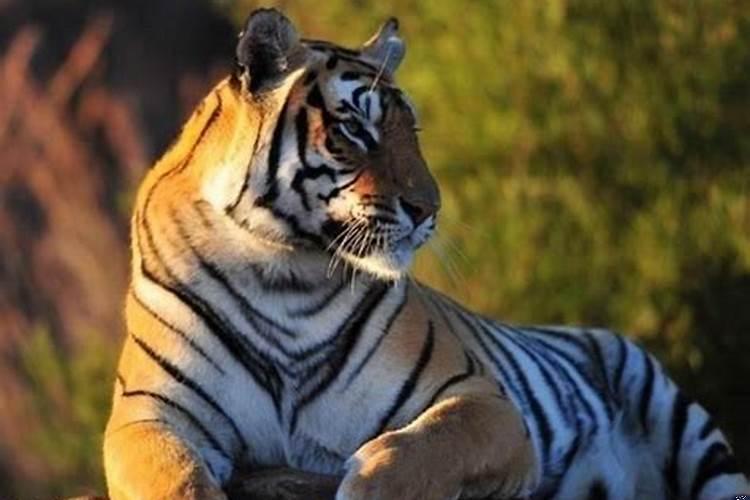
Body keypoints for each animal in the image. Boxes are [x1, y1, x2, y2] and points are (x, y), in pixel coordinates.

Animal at [103, 8, 749, 500]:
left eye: (411, 131)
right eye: (355, 131)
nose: (429, 208)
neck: (281, 270)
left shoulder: (483, 402)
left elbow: (411, 454)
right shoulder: (147, 415)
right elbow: (173, 477)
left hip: (685, 428)